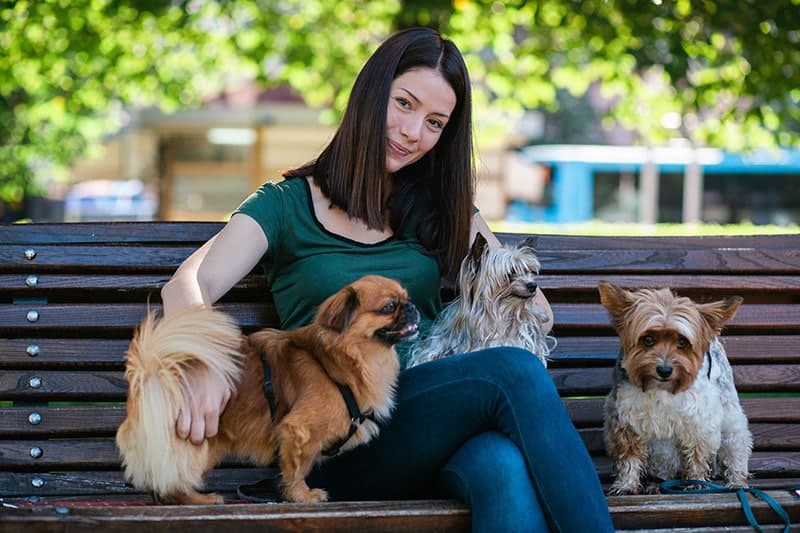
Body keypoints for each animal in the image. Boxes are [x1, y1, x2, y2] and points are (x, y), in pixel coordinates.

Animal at [119, 276, 422, 504]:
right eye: (389, 306)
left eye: (406, 298)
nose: (412, 306)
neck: (337, 361)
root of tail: (156, 372)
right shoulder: (300, 430)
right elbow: (298, 467)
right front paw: (302, 495)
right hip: (196, 440)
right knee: (171, 481)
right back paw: (200, 499)